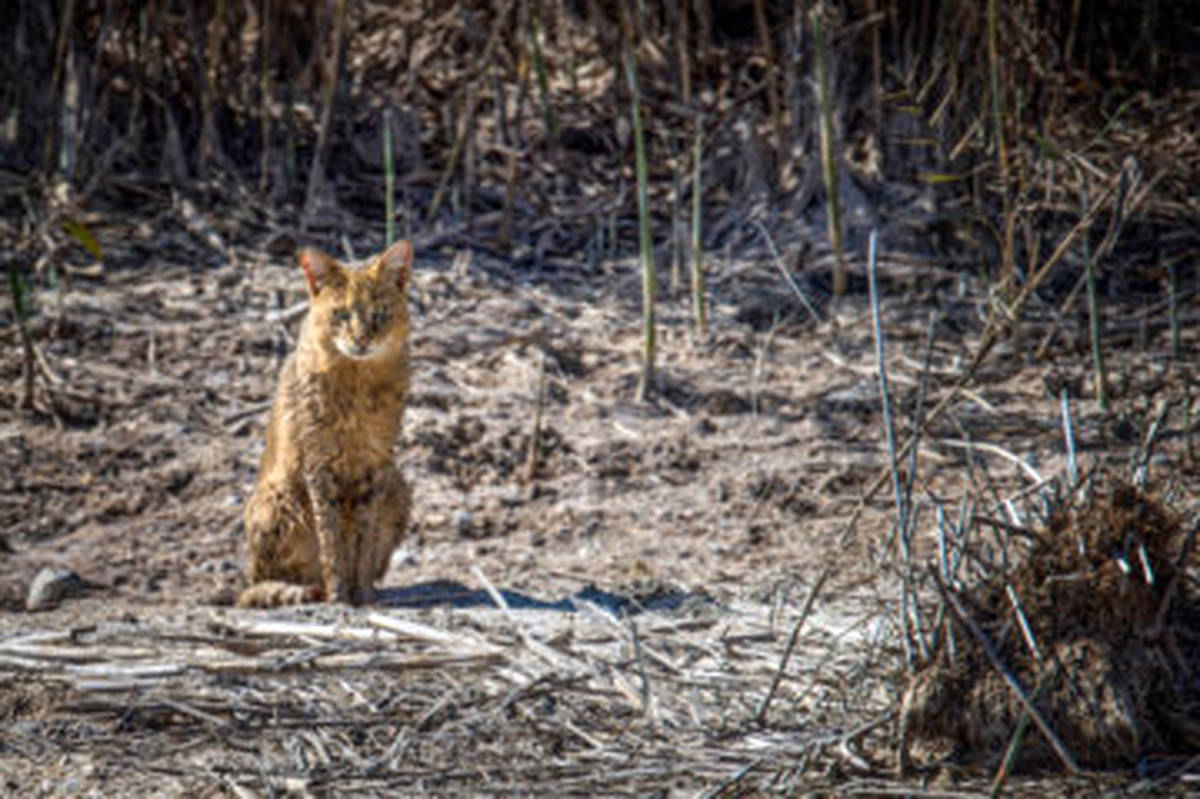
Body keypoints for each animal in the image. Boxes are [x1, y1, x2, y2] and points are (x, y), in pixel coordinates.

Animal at [236, 239, 415, 607]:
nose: (361, 339)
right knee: (260, 584)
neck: (358, 382)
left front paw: (361, 592)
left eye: (379, 314)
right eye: (341, 314)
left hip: (399, 486)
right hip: (276, 498)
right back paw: (302, 590)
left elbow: (364, 535)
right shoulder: (318, 462)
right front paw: (339, 593)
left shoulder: (376, 460)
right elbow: (330, 538)